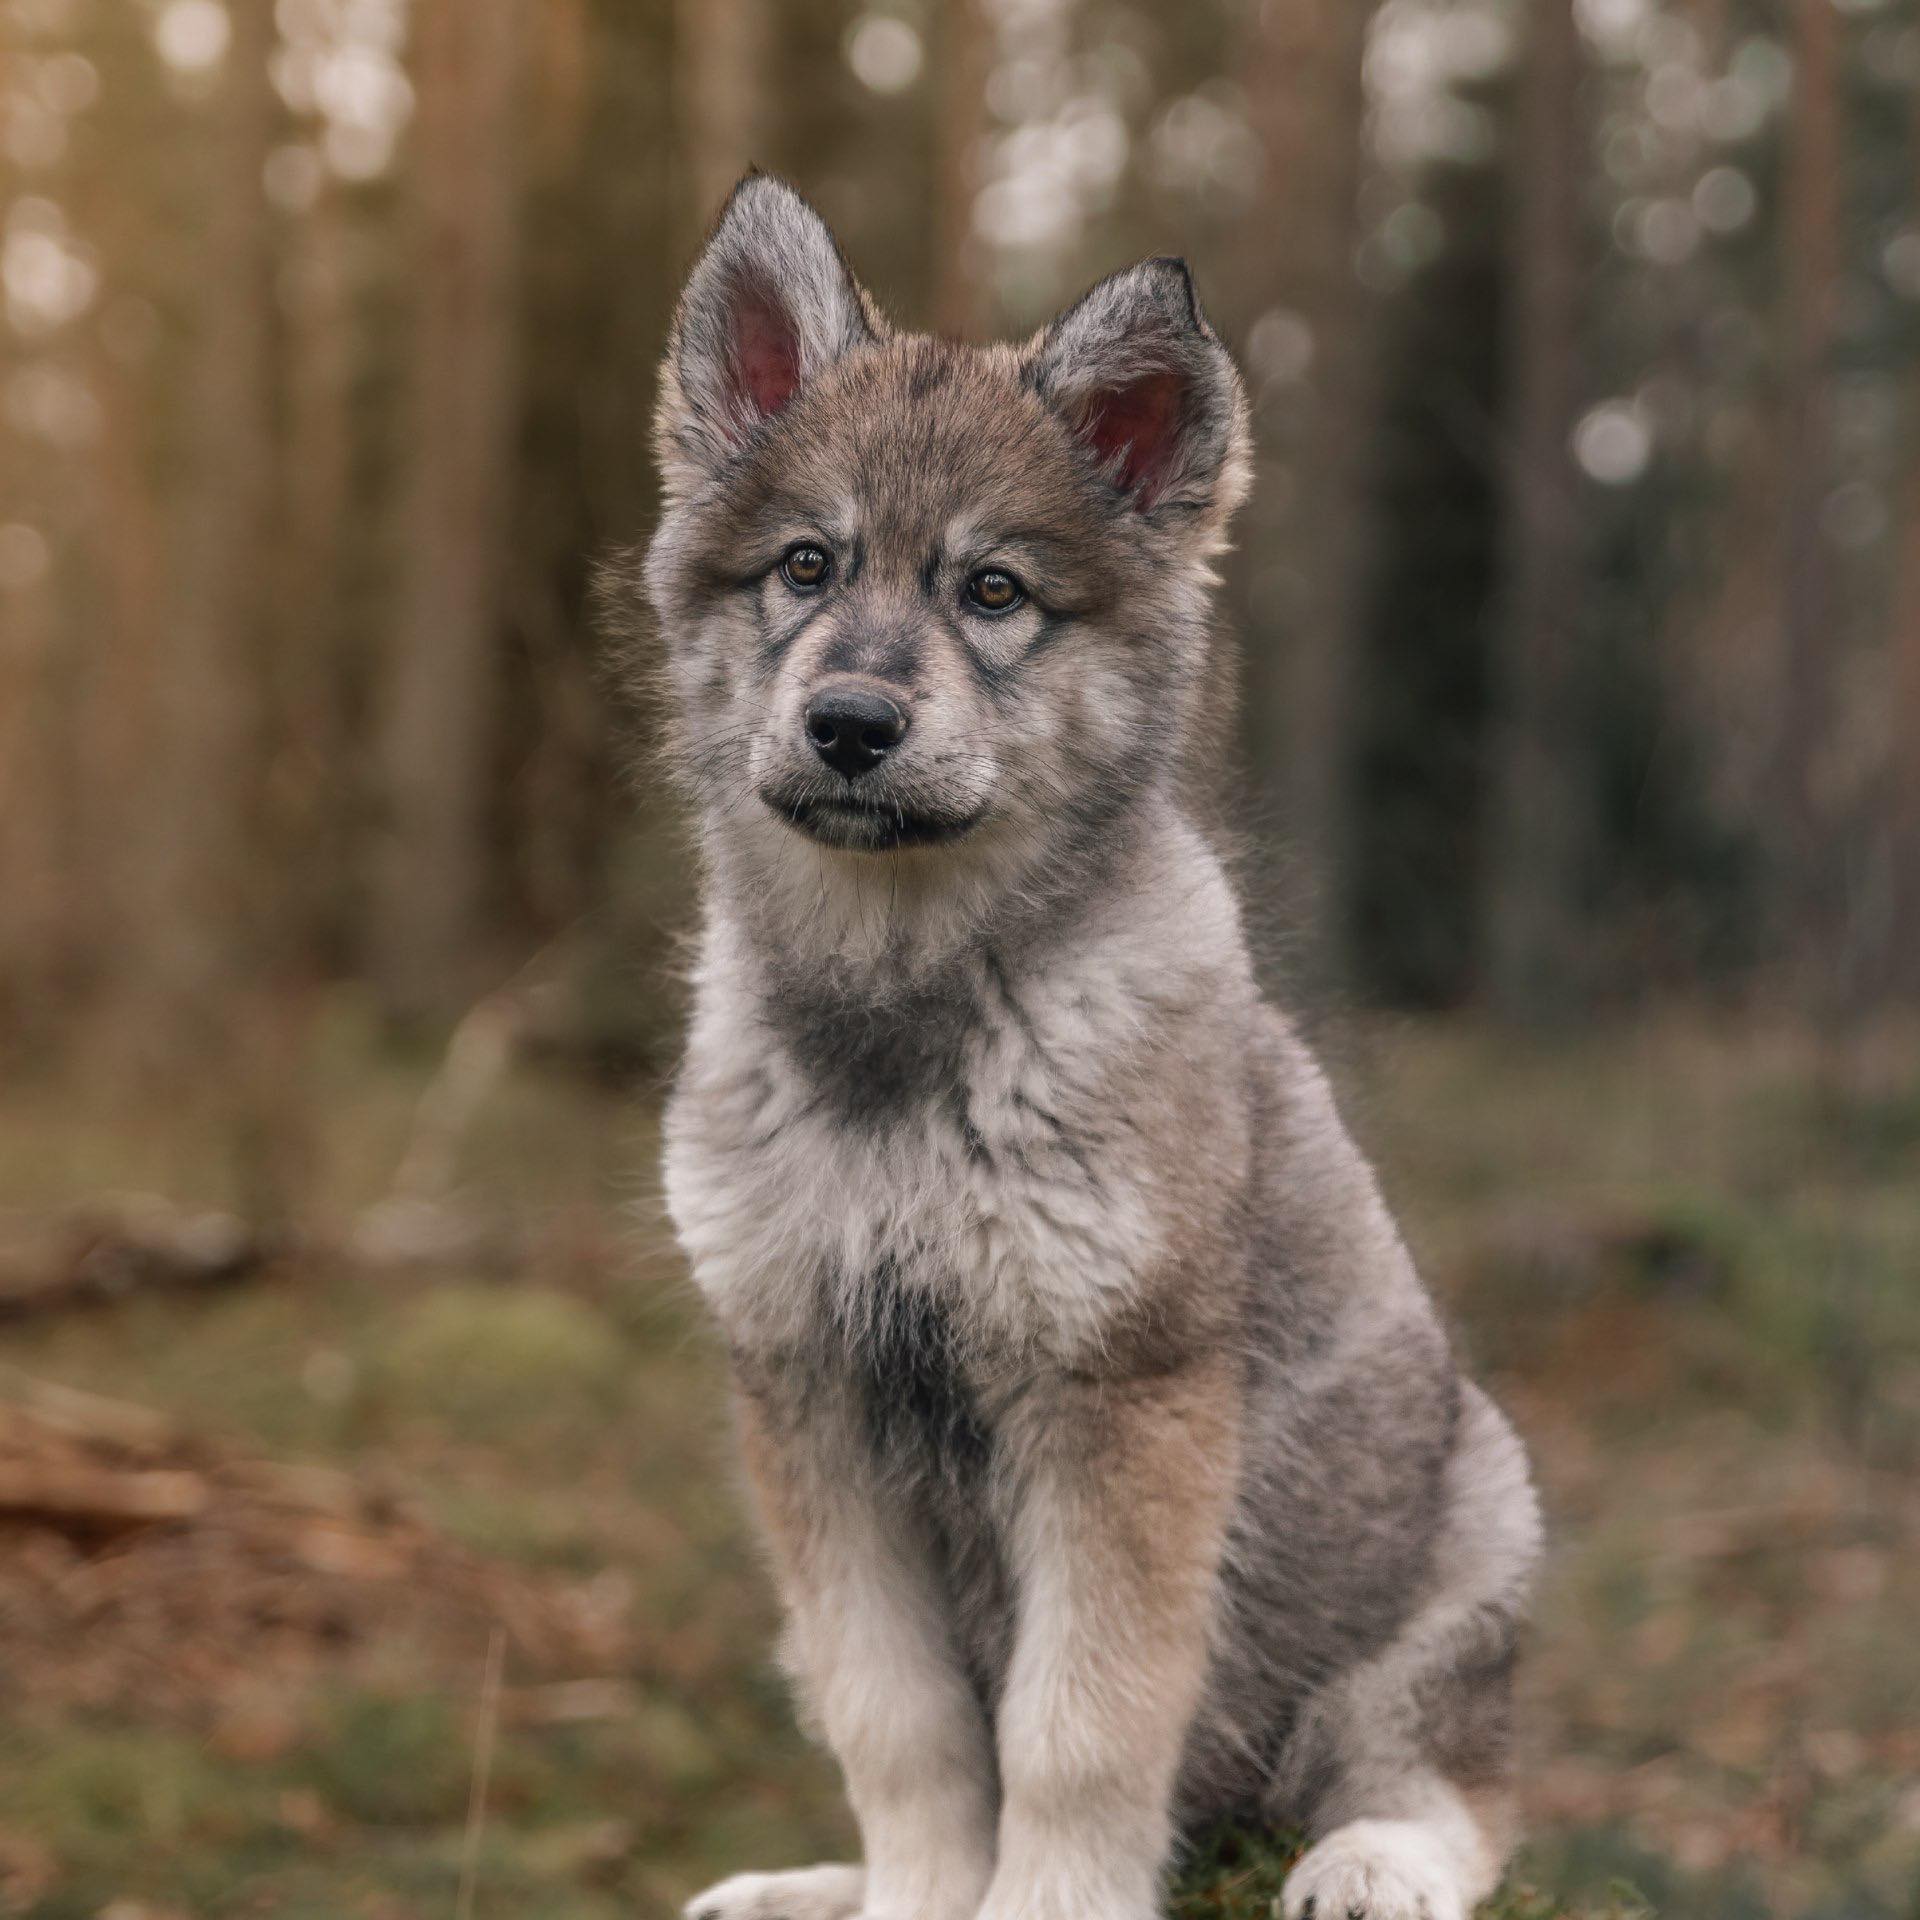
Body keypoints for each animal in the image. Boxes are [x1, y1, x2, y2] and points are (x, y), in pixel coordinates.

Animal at [612, 173, 1542, 1920]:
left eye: (994, 592)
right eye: (804, 567)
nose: (850, 724)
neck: (906, 1015)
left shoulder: (1117, 1402)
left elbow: (1080, 1729)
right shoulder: (813, 1404)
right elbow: (902, 1727)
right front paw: (911, 1896)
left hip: (1467, 1551)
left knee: (1445, 1784)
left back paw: (1372, 1862)